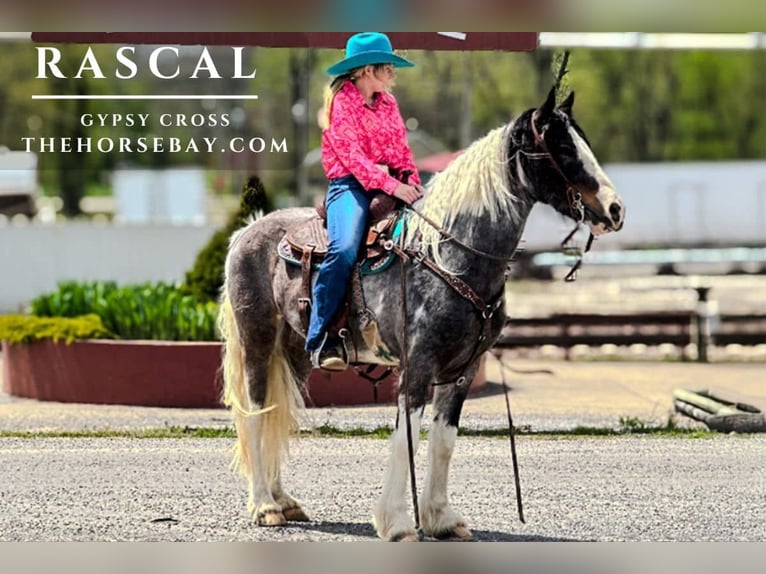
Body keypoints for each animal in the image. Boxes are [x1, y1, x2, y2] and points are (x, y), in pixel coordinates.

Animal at [217, 87, 625, 542]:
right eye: (562, 148)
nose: (615, 210)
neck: (448, 256)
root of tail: (247, 231)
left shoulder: (463, 369)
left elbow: (443, 440)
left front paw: (441, 518)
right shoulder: (418, 365)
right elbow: (406, 438)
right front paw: (396, 522)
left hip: (297, 352)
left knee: (277, 410)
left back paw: (284, 501)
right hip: (257, 340)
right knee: (256, 411)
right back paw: (265, 506)